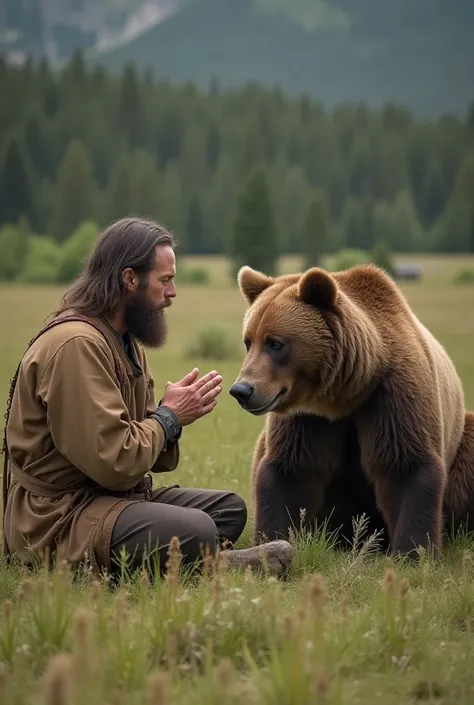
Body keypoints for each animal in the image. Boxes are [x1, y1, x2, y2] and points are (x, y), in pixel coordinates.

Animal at [229, 262, 474, 560]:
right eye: (248, 341)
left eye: (275, 343)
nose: (242, 390)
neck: (346, 395)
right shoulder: (308, 418)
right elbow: (291, 470)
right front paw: (272, 542)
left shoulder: (392, 394)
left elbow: (405, 465)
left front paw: (414, 552)